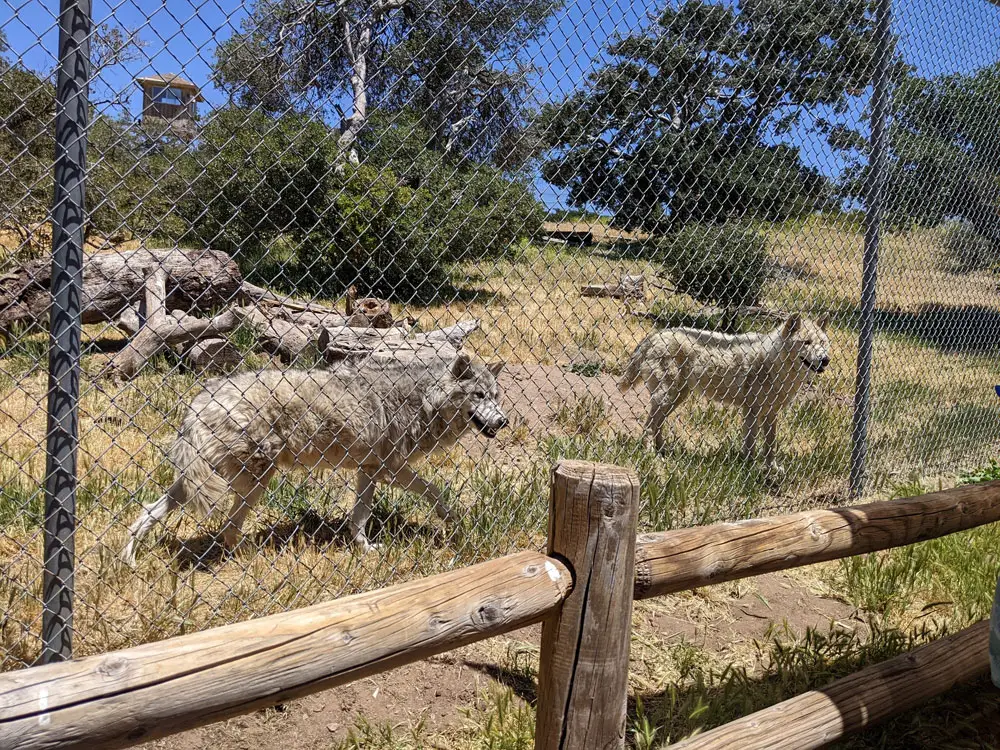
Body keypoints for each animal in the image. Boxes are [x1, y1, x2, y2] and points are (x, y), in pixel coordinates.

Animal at [122, 352, 508, 564]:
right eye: (478, 395)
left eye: (497, 395)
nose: (503, 421)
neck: (425, 400)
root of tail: (199, 401)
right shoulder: (388, 470)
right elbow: (433, 493)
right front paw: (451, 523)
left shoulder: (369, 470)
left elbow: (361, 516)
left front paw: (365, 548)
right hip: (253, 481)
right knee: (228, 528)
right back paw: (251, 556)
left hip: (204, 483)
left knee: (150, 511)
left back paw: (129, 559)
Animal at [620, 314, 832, 478]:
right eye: (806, 342)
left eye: (823, 343)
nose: (826, 359)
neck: (776, 367)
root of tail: (655, 334)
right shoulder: (751, 411)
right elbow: (750, 444)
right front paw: (749, 467)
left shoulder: (771, 414)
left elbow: (771, 445)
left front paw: (771, 468)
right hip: (666, 397)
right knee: (649, 425)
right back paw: (650, 454)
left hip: (676, 398)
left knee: (657, 424)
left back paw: (663, 451)